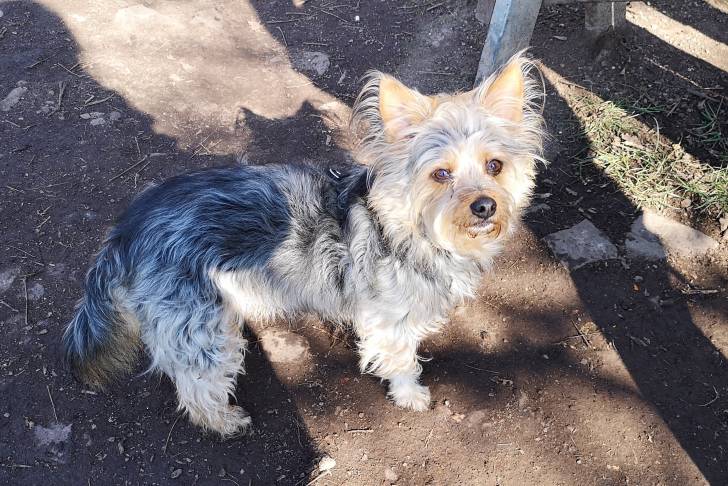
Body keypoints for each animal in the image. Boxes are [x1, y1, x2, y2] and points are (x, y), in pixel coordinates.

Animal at [64, 54, 540, 436]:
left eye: (495, 166)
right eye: (441, 174)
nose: (485, 206)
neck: (408, 229)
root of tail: (127, 230)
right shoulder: (389, 321)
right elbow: (400, 359)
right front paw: (410, 395)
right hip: (198, 323)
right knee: (196, 382)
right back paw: (224, 421)